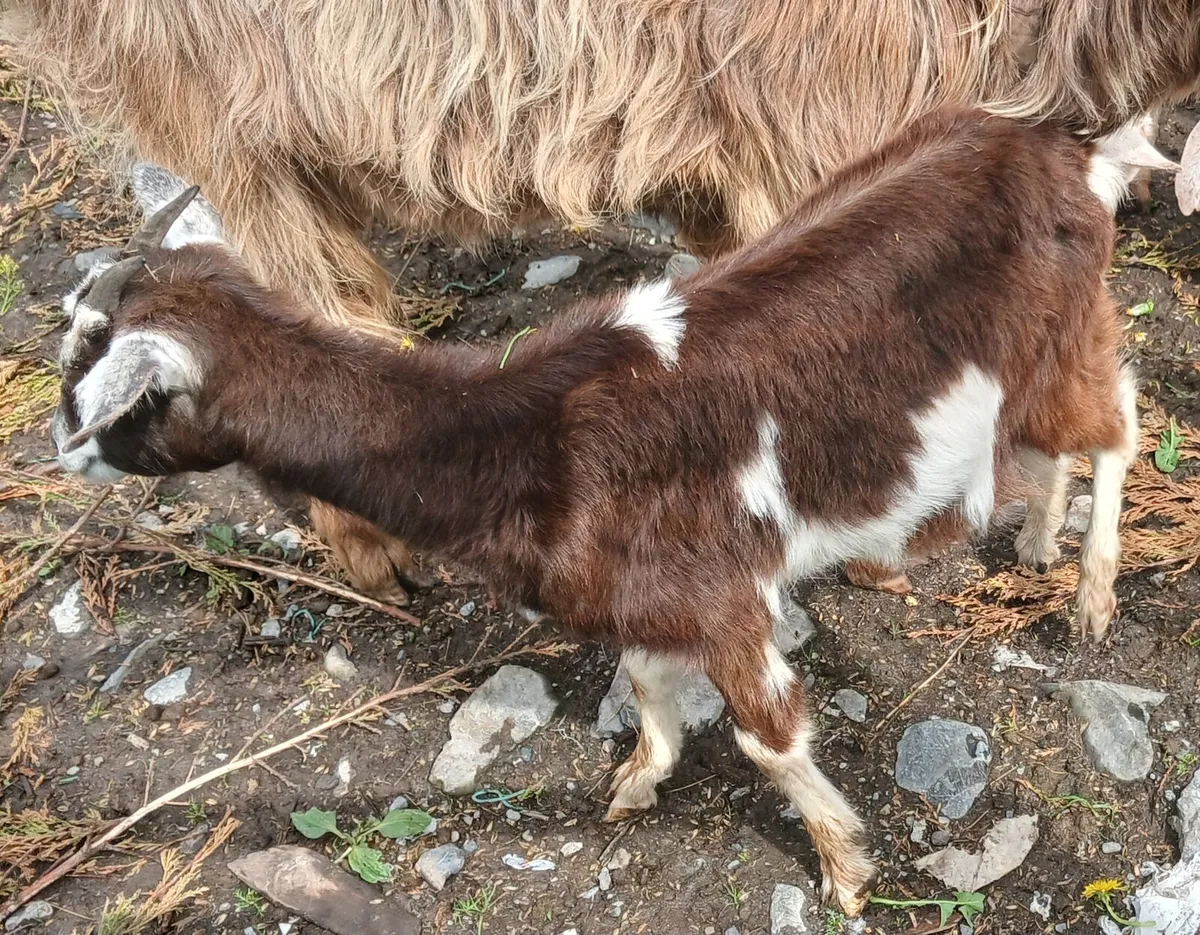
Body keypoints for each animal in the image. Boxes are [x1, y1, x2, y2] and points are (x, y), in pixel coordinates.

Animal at [53, 109, 1146, 912]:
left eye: (109, 390)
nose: (60, 449)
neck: (529, 441)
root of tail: (1064, 149)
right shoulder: (645, 595)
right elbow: (647, 680)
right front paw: (638, 782)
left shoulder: (724, 594)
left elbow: (768, 738)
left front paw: (844, 870)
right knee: (1062, 441)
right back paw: (1039, 539)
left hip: (1060, 339)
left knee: (1119, 420)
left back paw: (1092, 590)